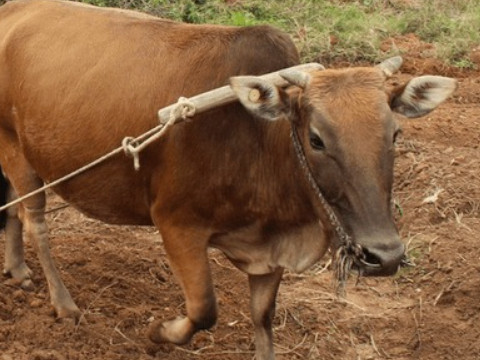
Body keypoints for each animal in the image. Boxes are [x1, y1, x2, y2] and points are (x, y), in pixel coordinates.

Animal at [0, 1, 458, 358]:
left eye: (395, 133)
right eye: (316, 139)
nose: (385, 256)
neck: (260, 141)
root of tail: (13, 10)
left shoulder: (270, 251)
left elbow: (263, 319)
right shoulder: (177, 226)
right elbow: (204, 309)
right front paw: (158, 331)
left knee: (10, 209)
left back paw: (18, 271)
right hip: (18, 151)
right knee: (33, 220)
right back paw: (64, 304)